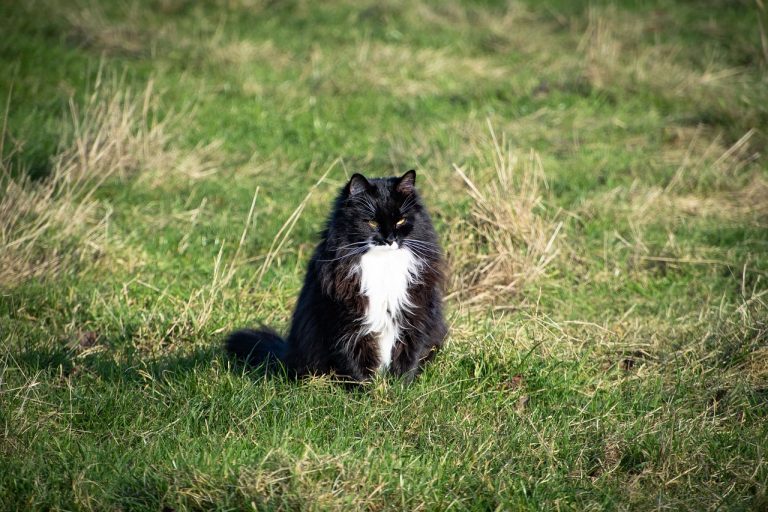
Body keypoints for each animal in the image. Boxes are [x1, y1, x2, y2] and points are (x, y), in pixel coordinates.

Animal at [225, 170, 448, 382]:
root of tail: (287, 351)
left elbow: (408, 360)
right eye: (372, 223)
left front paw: (399, 388)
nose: (390, 239)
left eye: (401, 220)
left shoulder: (416, 317)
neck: (382, 265)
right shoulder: (344, 324)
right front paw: (369, 393)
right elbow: (356, 366)